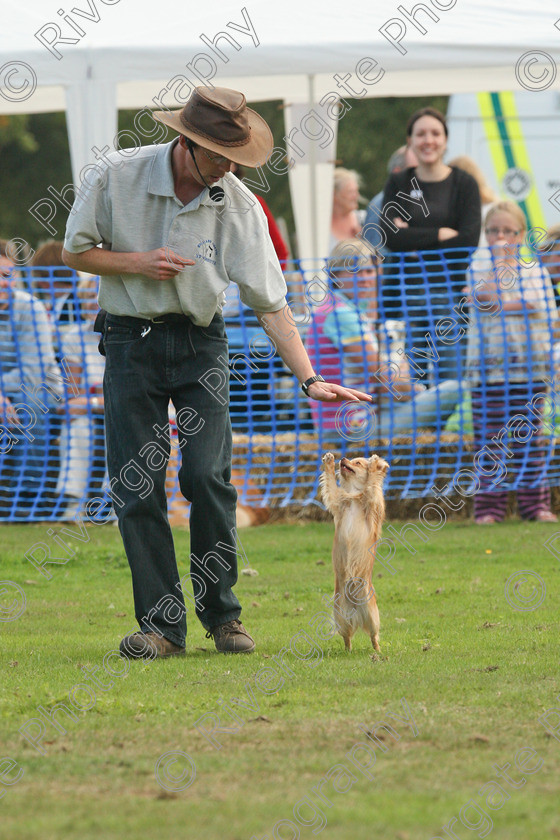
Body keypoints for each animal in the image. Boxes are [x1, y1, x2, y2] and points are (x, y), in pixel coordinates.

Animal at [320, 452, 390, 648]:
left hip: (372, 616)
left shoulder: (372, 500)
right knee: (347, 636)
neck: (353, 496)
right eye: (349, 459)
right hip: (340, 615)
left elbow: (372, 483)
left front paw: (374, 464)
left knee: (374, 636)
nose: (342, 459)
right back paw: (348, 650)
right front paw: (329, 462)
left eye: (357, 463)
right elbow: (330, 482)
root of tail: (355, 611)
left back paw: (377, 650)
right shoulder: (336, 500)